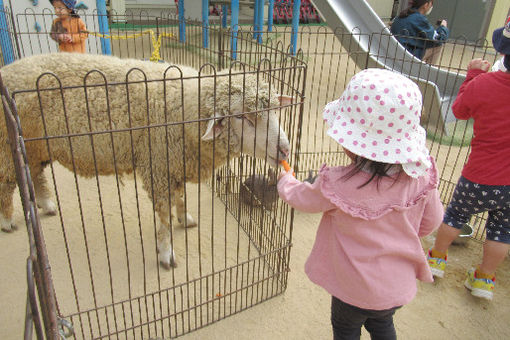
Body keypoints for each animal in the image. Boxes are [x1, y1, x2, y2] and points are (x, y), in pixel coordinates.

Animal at [0, 52, 290, 268]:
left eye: (276, 109)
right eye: (240, 116)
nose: (285, 149)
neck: (182, 106)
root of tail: (7, 70)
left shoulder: (174, 162)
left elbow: (181, 196)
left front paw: (185, 217)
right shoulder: (158, 166)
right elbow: (163, 216)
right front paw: (166, 253)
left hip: (35, 147)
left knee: (35, 174)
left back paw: (46, 204)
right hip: (8, 146)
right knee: (7, 184)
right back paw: (7, 222)